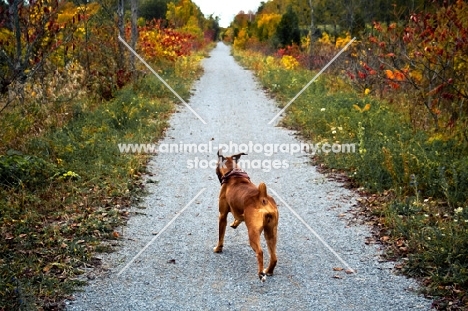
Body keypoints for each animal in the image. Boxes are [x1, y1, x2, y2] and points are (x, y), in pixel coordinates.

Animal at [215, 151, 278, 282]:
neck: (234, 174)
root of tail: (262, 197)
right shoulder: (239, 212)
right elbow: (238, 217)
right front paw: (234, 224)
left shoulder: (222, 215)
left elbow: (220, 236)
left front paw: (218, 249)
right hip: (271, 233)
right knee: (274, 257)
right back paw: (268, 271)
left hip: (253, 234)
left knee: (260, 252)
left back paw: (261, 273)